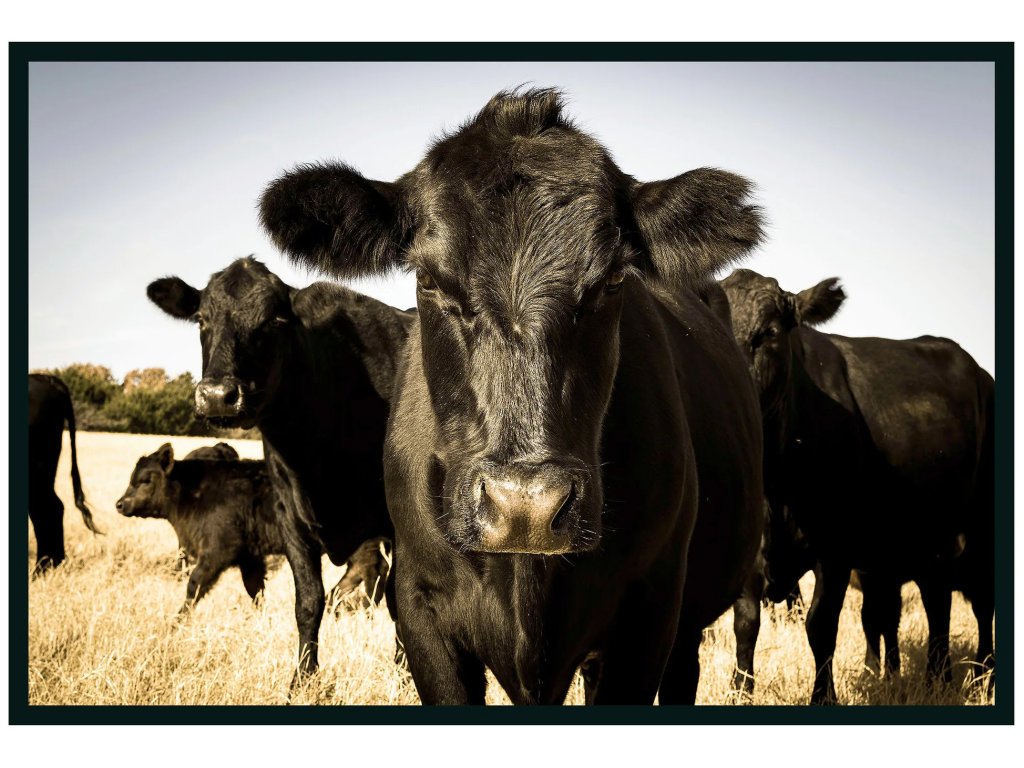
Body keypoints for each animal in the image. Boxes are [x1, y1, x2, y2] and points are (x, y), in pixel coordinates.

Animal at [146, 258, 413, 689]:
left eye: (273, 320)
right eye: (201, 319)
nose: (218, 396)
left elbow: (399, 602)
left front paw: (407, 675)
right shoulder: (291, 518)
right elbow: (309, 601)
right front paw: (302, 679)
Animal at [720, 268, 995, 704]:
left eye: (770, 332)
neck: (776, 492)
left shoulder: (836, 549)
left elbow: (821, 626)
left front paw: (824, 696)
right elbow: (746, 625)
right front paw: (740, 691)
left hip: (981, 528)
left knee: (981, 602)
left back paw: (984, 677)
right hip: (929, 539)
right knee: (936, 601)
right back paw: (937, 678)